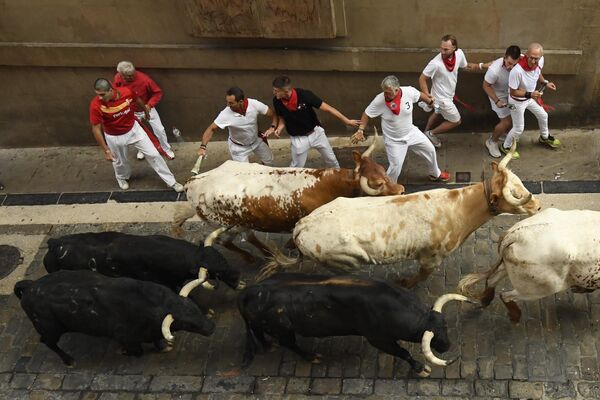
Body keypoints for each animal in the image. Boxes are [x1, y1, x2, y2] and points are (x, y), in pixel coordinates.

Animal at [14, 270, 217, 368]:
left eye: (196, 309)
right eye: (186, 323)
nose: (211, 327)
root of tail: (30, 286)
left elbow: (157, 340)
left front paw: (164, 347)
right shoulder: (127, 338)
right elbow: (137, 352)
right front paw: (122, 351)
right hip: (50, 328)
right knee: (48, 342)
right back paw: (69, 361)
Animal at [176, 133, 406, 260]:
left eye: (383, 170)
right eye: (377, 184)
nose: (401, 190)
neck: (330, 185)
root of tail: (194, 180)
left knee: (247, 236)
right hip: (224, 224)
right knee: (227, 241)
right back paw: (251, 258)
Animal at [239, 274, 474, 376]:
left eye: (445, 326)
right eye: (431, 338)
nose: (446, 346)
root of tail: (251, 290)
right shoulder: (379, 339)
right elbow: (404, 352)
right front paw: (420, 368)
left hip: (264, 324)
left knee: (259, 331)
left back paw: (268, 346)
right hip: (283, 330)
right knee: (289, 344)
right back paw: (311, 356)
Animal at [460, 208, 600, 324]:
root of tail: (519, 234)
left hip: (509, 267)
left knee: (491, 280)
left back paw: (485, 301)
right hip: (541, 287)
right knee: (506, 295)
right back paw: (515, 317)